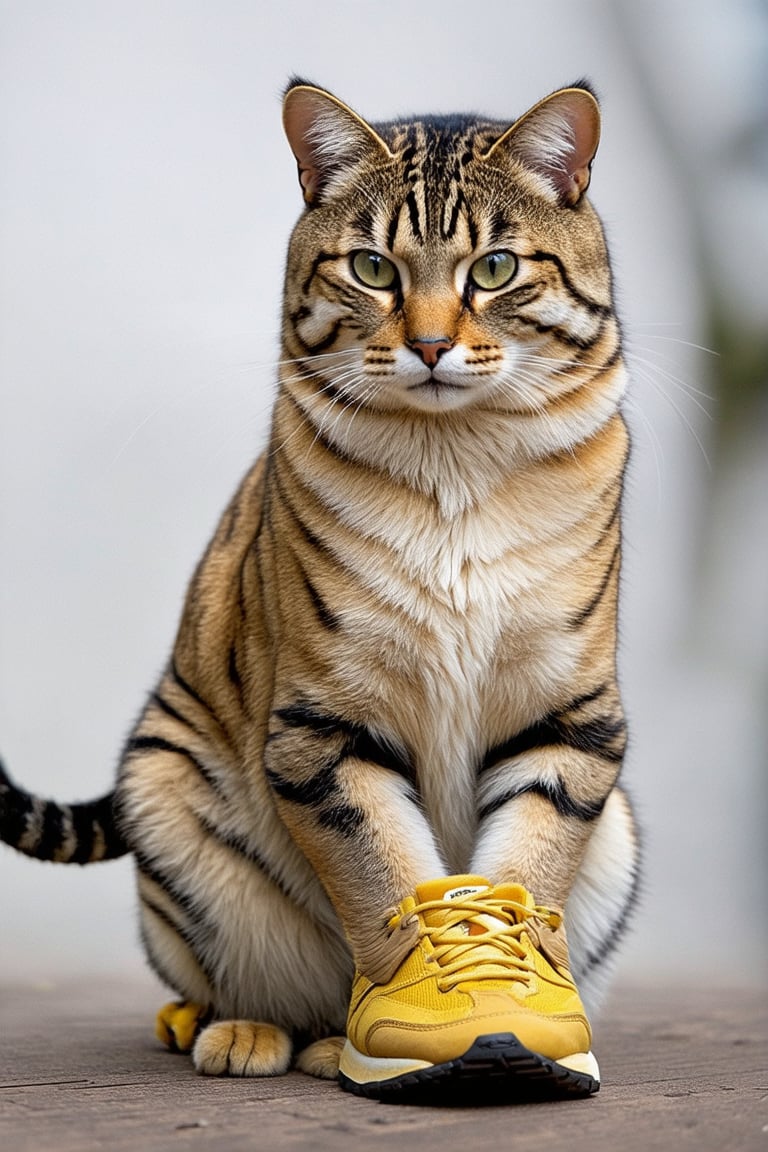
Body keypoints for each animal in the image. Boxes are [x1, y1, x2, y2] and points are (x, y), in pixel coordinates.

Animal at [0, 76, 640, 1101]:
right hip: (168, 791)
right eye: (374, 268)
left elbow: (529, 864)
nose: (429, 345)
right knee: (228, 985)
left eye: (496, 267)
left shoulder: (572, 719)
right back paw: (251, 1035)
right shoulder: (323, 725)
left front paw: (519, 1018)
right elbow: (384, 869)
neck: (457, 459)